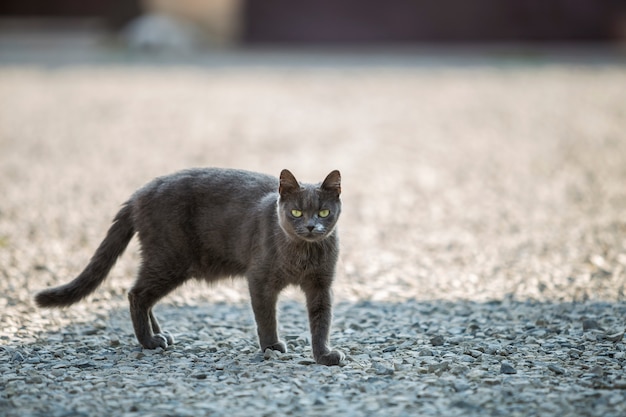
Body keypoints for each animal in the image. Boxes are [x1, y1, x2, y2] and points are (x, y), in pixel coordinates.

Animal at [34, 168, 344, 364]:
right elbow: (266, 317)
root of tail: (139, 193)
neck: (301, 255)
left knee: (143, 296)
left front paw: (324, 355)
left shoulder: (321, 285)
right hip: (170, 258)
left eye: (323, 212)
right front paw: (272, 347)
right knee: (136, 294)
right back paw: (149, 342)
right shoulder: (259, 278)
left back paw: (159, 335)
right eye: (296, 212)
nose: (311, 226)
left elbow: (321, 321)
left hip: (165, 261)